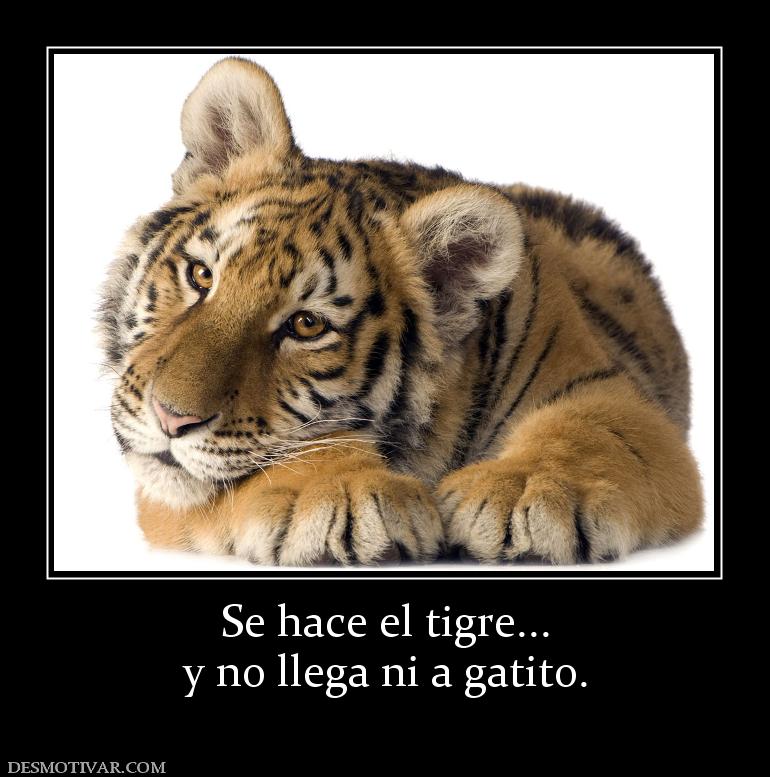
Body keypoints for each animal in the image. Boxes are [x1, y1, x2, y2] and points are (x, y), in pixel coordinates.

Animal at [99, 57, 703, 566]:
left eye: (307, 325)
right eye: (201, 276)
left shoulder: (612, 394)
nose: (170, 419)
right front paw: (346, 493)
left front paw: (524, 491)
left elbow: (592, 433)